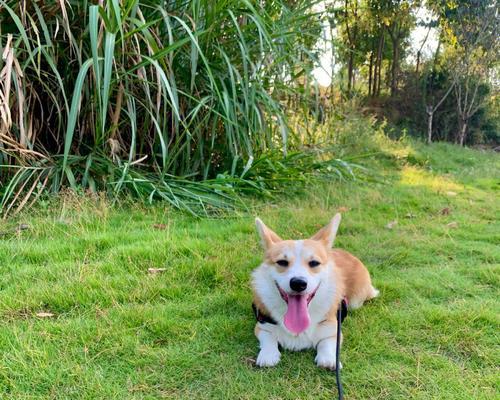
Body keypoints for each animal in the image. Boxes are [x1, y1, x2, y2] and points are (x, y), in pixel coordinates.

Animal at [252, 214, 376, 368]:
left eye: (314, 263)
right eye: (282, 262)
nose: (298, 283)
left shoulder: (334, 330)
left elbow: (327, 344)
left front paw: (329, 359)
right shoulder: (262, 326)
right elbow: (268, 338)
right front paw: (268, 355)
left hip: (355, 301)